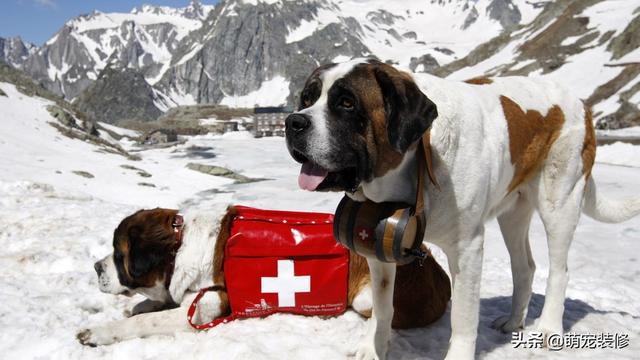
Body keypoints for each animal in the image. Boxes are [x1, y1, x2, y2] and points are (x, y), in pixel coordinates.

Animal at [76, 204, 450, 348]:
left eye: (119, 254)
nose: (95, 267)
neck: (179, 249)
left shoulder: (208, 305)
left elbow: (146, 322)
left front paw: (99, 331)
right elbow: (149, 308)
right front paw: (137, 307)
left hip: (365, 295)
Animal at [284, 57, 640, 358]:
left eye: (346, 103)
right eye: (306, 99)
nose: (293, 122)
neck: (415, 160)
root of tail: (582, 105)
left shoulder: (467, 249)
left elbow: (463, 318)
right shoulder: (377, 244)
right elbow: (383, 307)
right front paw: (372, 348)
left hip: (560, 200)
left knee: (559, 271)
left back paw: (549, 331)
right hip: (514, 212)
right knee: (524, 266)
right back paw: (513, 322)